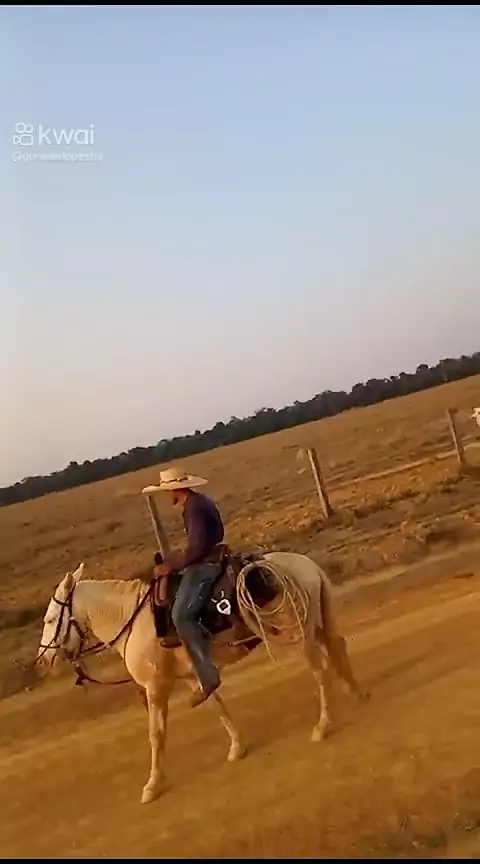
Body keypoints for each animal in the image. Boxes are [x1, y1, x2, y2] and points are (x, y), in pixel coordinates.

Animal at [36, 551, 369, 804]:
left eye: (50, 620)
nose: (43, 661)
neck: (132, 620)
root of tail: (303, 564)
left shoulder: (156, 687)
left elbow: (156, 734)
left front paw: (152, 785)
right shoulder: (191, 675)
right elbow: (216, 706)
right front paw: (237, 746)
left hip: (299, 633)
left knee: (321, 668)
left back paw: (323, 725)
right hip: (319, 623)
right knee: (338, 649)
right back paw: (357, 693)